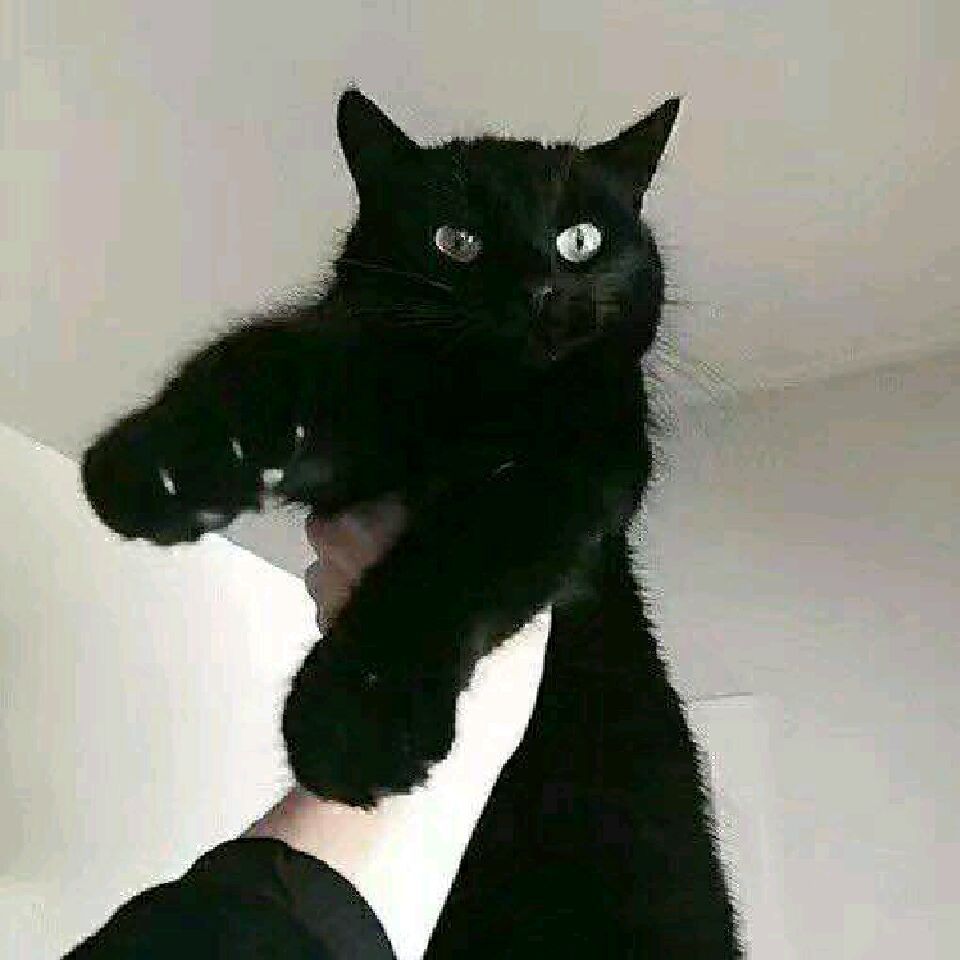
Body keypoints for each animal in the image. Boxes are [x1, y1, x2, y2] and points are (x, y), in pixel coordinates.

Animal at [81, 89, 742, 956]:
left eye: (581, 241)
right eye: (455, 242)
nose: (539, 290)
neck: (475, 409)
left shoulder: (575, 478)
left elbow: (451, 561)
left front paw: (353, 720)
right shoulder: (367, 396)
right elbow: (267, 354)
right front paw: (158, 460)